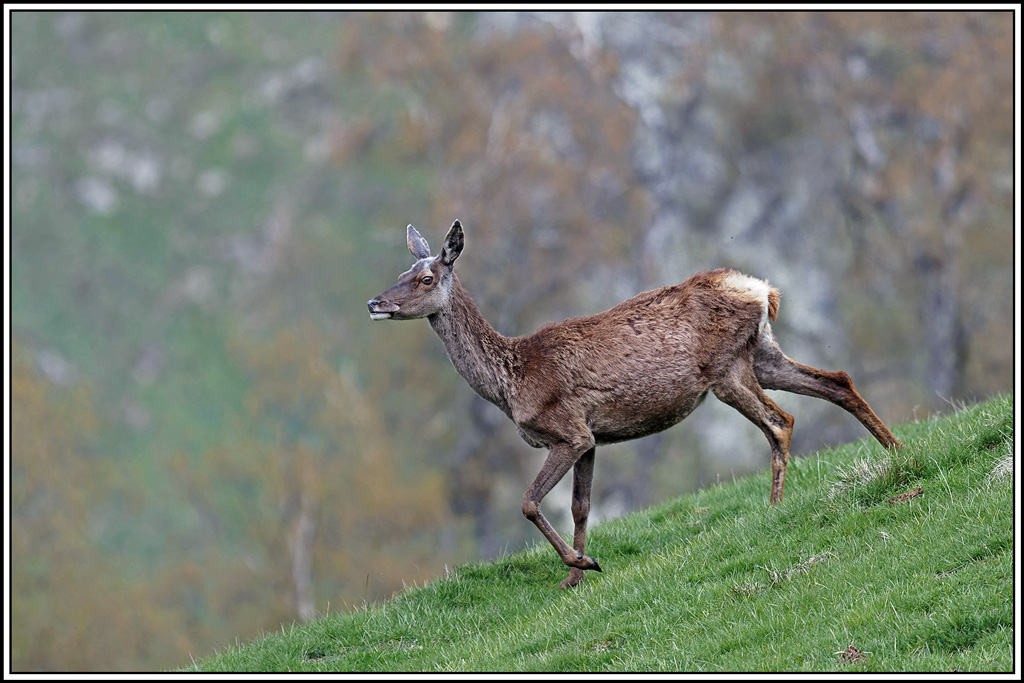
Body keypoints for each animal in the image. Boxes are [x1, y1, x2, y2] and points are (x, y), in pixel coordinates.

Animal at [367, 219, 904, 589]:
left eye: (426, 278)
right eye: (401, 270)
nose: (376, 302)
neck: (512, 382)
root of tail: (763, 290)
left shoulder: (568, 430)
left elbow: (528, 501)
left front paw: (582, 563)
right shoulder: (591, 439)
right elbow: (581, 507)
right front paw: (575, 578)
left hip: (726, 369)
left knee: (781, 420)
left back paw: (774, 508)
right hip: (762, 354)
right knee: (837, 380)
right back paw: (897, 452)